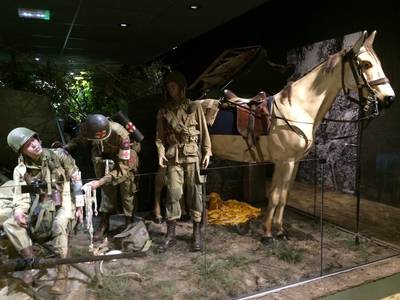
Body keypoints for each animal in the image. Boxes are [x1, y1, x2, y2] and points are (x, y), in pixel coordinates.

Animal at [202, 30, 396, 244]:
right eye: (366, 64)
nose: (390, 98)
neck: (296, 108)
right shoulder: (284, 162)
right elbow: (275, 197)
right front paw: (267, 234)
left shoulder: (293, 163)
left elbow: (283, 196)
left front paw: (279, 231)